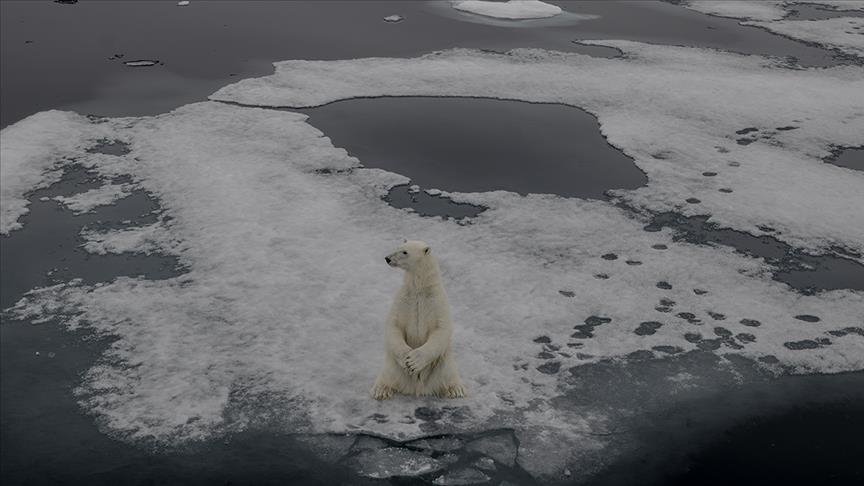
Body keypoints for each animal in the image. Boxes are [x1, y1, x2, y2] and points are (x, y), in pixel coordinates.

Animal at [370, 239, 466, 398]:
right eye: (399, 247)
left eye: (405, 252)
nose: (387, 258)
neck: (419, 290)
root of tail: (416, 388)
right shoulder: (404, 299)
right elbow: (394, 324)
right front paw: (406, 358)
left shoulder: (437, 302)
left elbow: (441, 328)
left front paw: (414, 361)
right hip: (393, 365)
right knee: (388, 373)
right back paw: (380, 390)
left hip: (442, 362)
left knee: (448, 372)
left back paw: (456, 389)